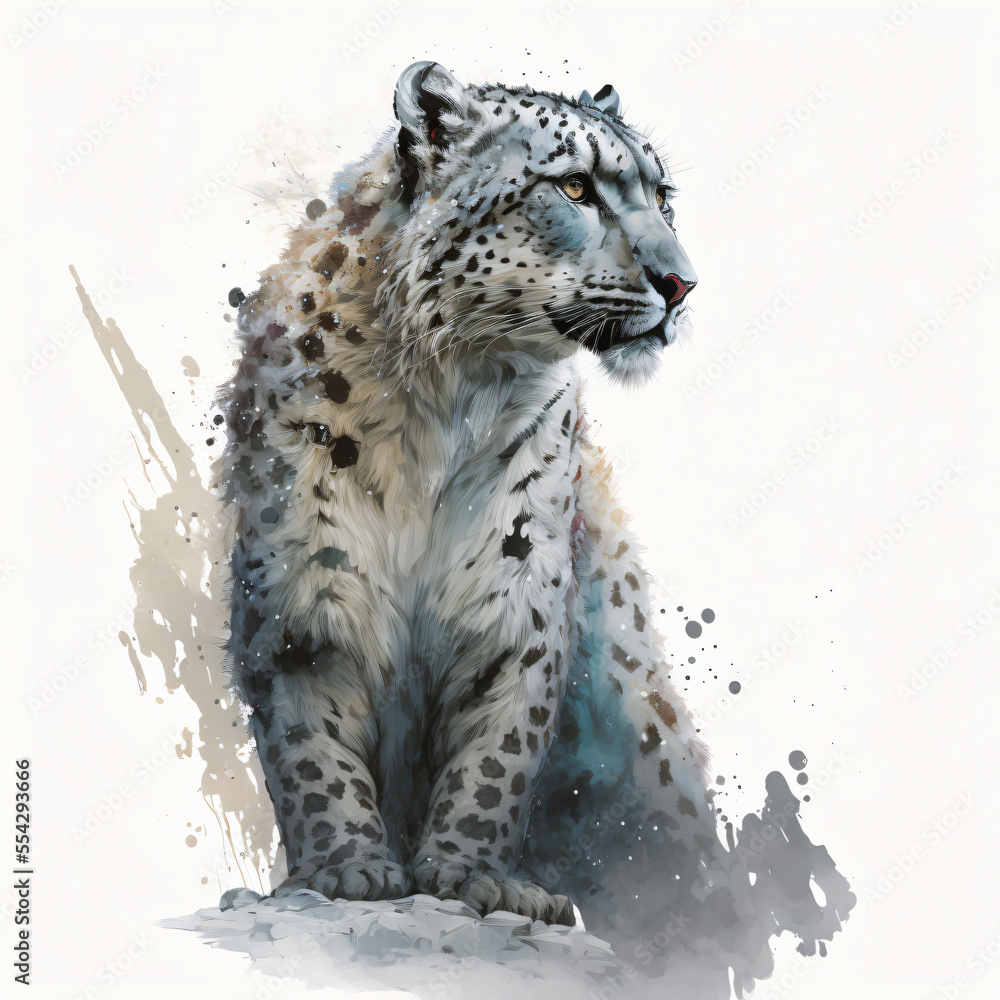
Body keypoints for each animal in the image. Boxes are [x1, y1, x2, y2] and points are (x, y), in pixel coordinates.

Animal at [213, 62, 848, 991]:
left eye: (663, 195)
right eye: (575, 186)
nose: (682, 284)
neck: (440, 406)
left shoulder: (516, 593)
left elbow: (497, 750)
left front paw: (470, 875)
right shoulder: (305, 595)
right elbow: (310, 743)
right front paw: (345, 868)